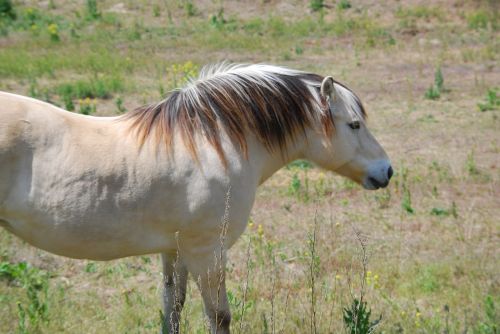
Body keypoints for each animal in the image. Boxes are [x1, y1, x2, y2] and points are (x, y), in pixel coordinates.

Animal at [0, 63, 390, 334]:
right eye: (354, 124)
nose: (386, 170)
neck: (210, 144)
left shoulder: (175, 250)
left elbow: (173, 310)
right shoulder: (208, 252)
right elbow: (219, 316)